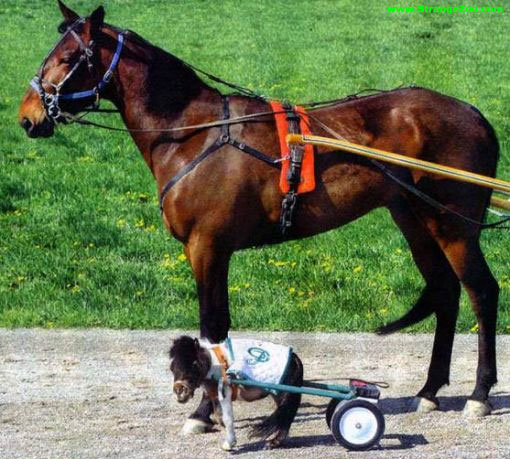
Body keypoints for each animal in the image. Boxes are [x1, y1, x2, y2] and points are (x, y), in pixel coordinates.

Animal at [18, 1, 498, 432]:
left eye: (67, 58)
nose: (27, 117)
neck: (192, 134)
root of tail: (474, 114)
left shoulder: (207, 247)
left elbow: (212, 330)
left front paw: (203, 411)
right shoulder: (208, 250)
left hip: (454, 225)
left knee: (481, 291)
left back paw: (479, 394)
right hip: (415, 221)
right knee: (446, 291)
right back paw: (429, 390)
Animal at [169, 336, 302, 452]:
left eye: (194, 364)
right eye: (172, 367)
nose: (180, 391)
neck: (216, 364)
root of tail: (295, 359)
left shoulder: (225, 392)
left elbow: (227, 418)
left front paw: (229, 444)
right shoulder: (215, 395)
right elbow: (218, 415)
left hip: (283, 394)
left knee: (286, 416)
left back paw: (274, 442)